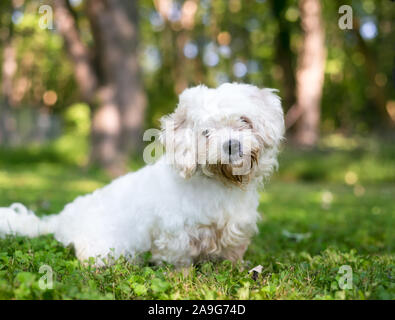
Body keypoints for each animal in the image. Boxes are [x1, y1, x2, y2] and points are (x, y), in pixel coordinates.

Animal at [0, 82, 284, 264]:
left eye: (244, 120)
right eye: (205, 132)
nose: (231, 145)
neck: (220, 182)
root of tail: (59, 219)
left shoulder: (237, 229)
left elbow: (233, 254)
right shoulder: (174, 234)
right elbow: (179, 262)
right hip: (108, 248)